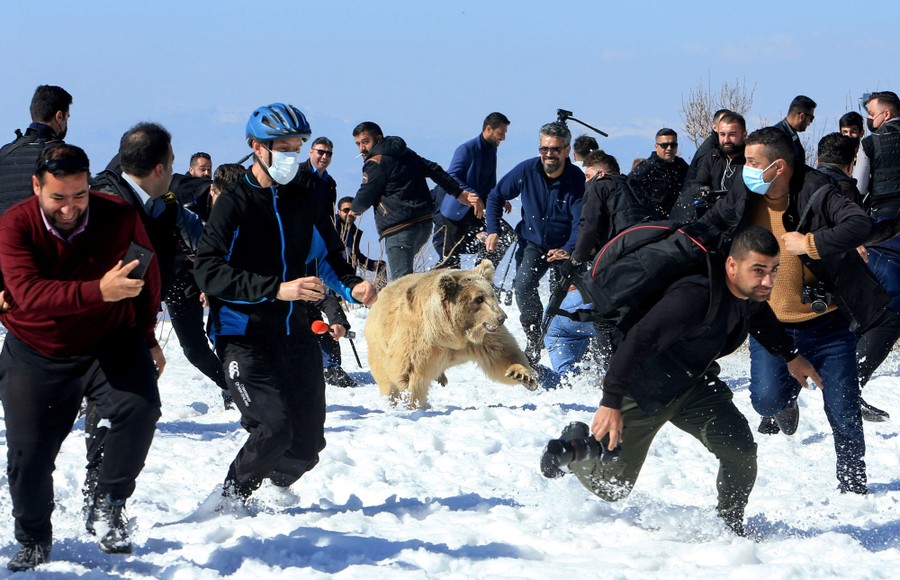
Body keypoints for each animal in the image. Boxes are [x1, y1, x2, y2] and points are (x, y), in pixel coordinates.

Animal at [365, 259, 537, 408]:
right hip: (378, 346)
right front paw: (411, 403)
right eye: (478, 299)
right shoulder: (418, 341)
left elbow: (503, 354)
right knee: (386, 379)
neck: (451, 334)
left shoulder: (482, 340)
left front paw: (522, 376)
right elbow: (408, 375)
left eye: (492, 294)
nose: (501, 317)